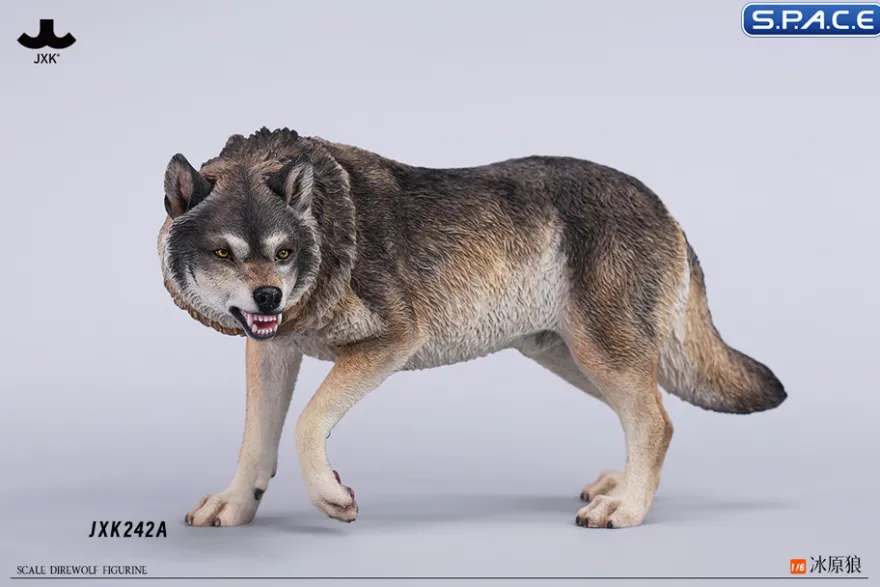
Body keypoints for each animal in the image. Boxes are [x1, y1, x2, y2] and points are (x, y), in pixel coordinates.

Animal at [158, 127, 785, 529]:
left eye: (283, 252)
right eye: (224, 252)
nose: (269, 296)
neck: (328, 232)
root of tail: (665, 207)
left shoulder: (391, 341)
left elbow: (307, 423)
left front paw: (331, 496)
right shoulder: (271, 348)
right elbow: (256, 440)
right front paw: (236, 505)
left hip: (601, 354)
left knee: (656, 423)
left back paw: (627, 508)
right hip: (575, 360)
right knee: (654, 416)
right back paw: (621, 484)